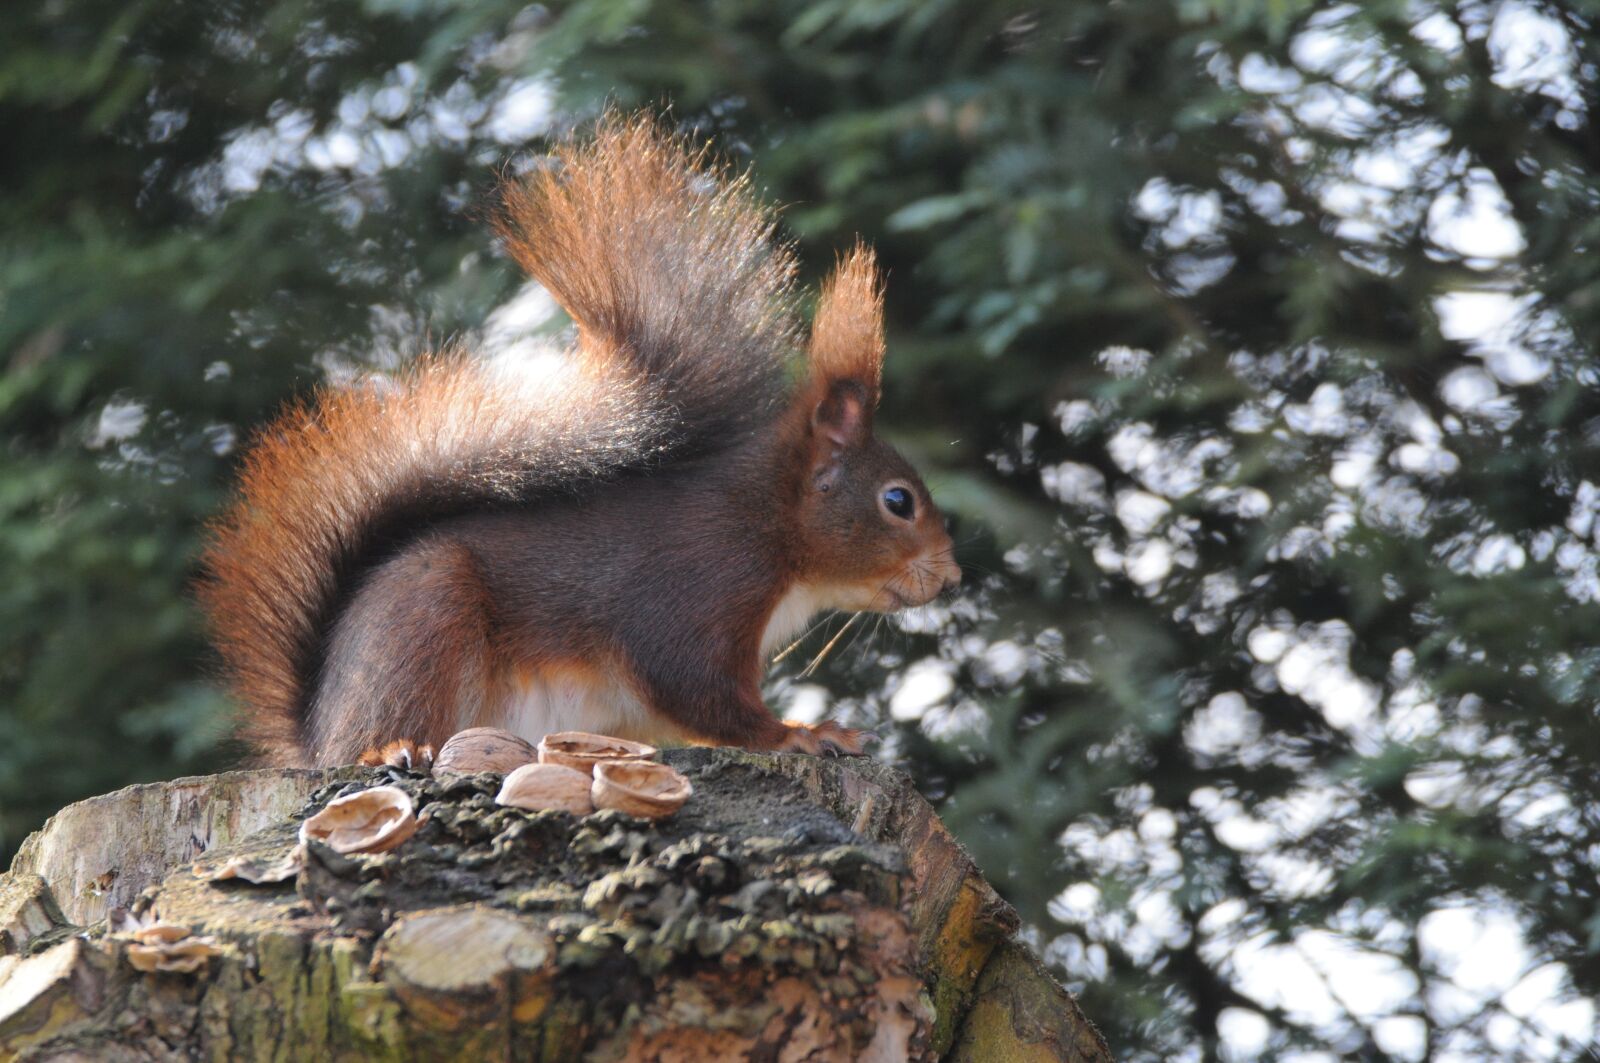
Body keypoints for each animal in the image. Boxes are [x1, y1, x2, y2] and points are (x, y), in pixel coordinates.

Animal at [199, 113, 961, 769]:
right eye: (898, 501)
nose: (951, 577)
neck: (770, 525)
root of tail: (317, 733)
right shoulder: (696, 590)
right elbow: (699, 692)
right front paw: (802, 733)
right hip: (422, 626)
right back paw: (388, 749)